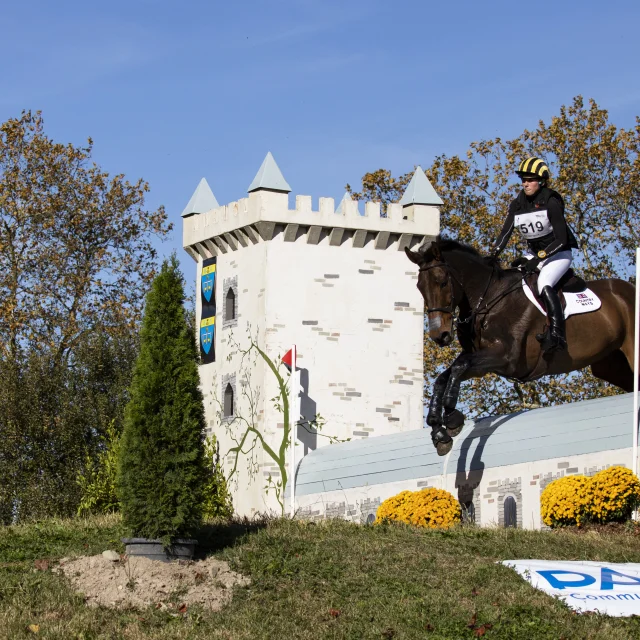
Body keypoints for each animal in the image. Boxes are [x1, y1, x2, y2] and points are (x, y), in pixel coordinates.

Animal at [404, 239, 636, 456]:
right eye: (419, 288)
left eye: (442, 282)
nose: (440, 336)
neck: (488, 300)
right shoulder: (481, 361)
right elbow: (444, 377)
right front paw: (438, 431)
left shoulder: (508, 359)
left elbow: (458, 368)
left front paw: (452, 417)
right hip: (612, 366)